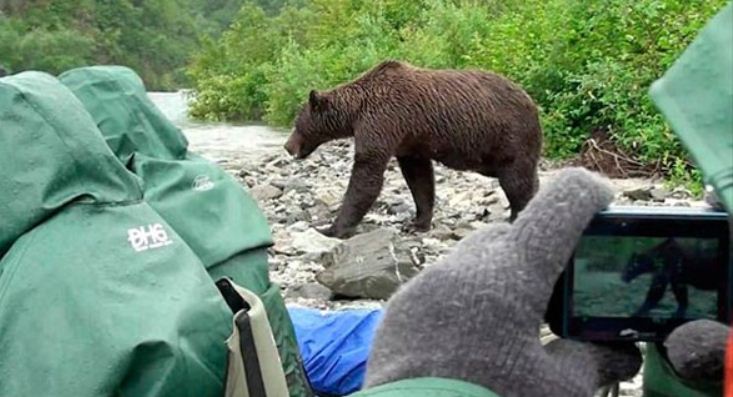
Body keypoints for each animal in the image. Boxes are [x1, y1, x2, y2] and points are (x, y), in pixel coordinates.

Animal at [284, 60, 540, 237]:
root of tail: (531, 101)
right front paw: (417, 223)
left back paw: (519, 214)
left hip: (509, 135)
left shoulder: (383, 120)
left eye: (297, 123)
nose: (287, 146)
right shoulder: (409, 140)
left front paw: (331, 227)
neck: (356, 111)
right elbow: (419, 179)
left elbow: (366, 173)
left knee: (515, 178)